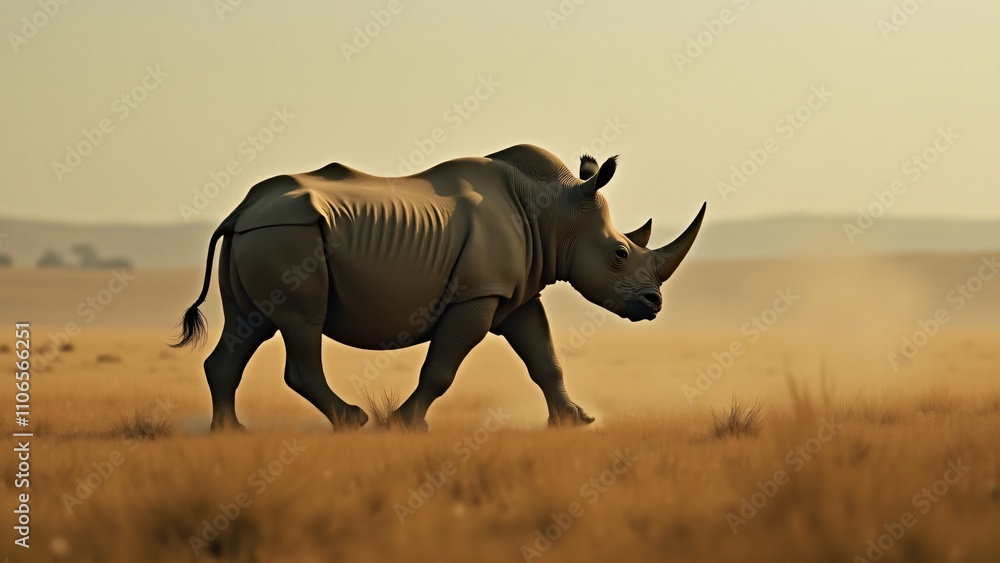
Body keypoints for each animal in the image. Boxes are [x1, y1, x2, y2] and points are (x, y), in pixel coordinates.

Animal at [173, 144, 705, 431]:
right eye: (620, 254)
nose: (653, 304)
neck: (555, 213)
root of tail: (241, 210)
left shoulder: (512, 295)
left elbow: (544, 358)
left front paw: (576, 421)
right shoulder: (477, 293)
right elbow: (442, 367)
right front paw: (404, 424)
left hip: (263, 237)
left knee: (249, 324)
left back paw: (231, 434)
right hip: (288, 236)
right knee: (301, 323)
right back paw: (352, 421)